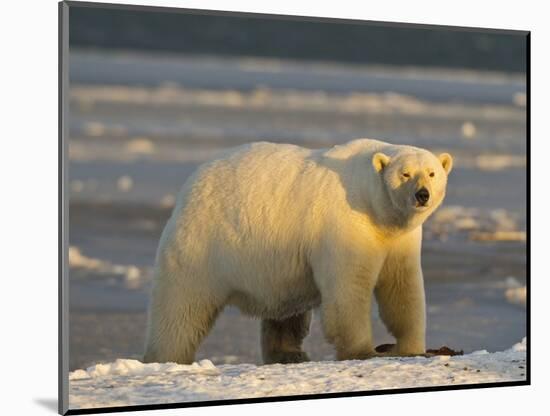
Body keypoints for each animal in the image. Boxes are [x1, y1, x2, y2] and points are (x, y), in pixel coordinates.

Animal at [144, 140, 454, 364]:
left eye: (432, 173)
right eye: (405, 174)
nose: (422, 194)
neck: (374, 207)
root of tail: (191, 183)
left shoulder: (398, 239)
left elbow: (402, 288)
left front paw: (412, 347)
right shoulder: (345, 226)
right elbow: (349, 289)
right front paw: (363, 350)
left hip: (277, 260)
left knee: (286, 311)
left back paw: (289, 353)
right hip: (204, 242)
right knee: (182, 306)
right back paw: (165, 357)